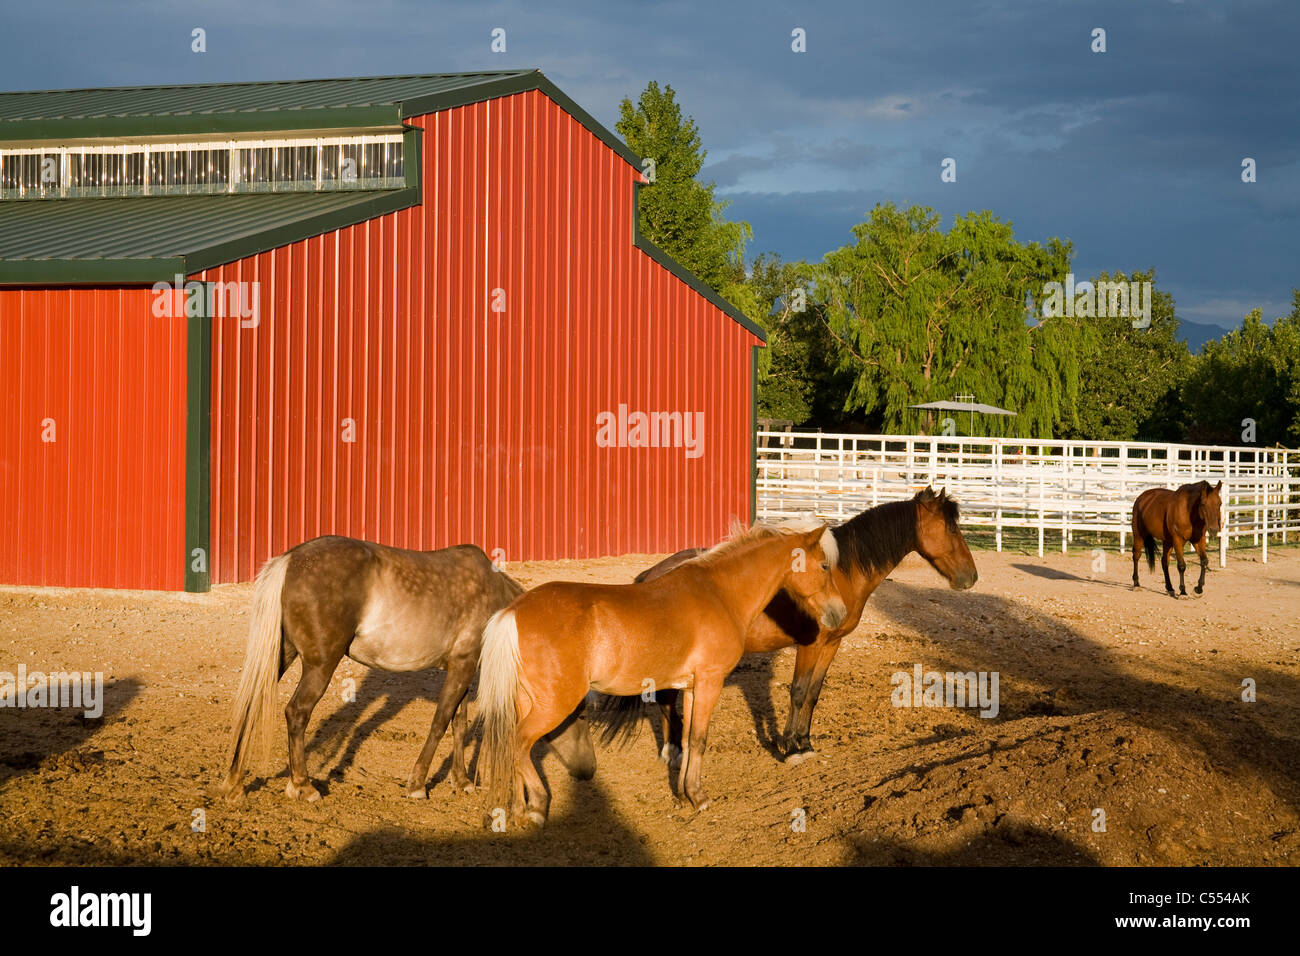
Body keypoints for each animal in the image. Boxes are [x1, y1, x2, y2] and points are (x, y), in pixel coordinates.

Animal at [214, 535, 596, 802]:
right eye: (580, 715)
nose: (589, 771)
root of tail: (290, 560)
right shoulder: (462, 666)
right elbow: (441, 722)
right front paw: (417, 784)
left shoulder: (462, 668)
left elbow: (459, 724)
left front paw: (461, 781)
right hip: (320, 664)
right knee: (296, 713)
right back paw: (303, 786)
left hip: (284, 653)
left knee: (252, 702)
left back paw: (234, 783)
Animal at [478, 522, 846, 827]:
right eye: (824, 566)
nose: (839, 612)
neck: (720, 592)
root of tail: (513, 611)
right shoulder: (710, 682)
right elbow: (698, 740)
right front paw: (698, 797)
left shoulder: (693, 688)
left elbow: (684, 739)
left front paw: (683, 794)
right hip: (553, 704)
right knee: (519, 744)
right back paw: (537, 806)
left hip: (526, 701)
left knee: (512, 747)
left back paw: (519, 808)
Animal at [597, 486, 978, 764]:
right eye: (950, 527)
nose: (971, 577)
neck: (841, 573)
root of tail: (651, 575)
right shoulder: (811, 644)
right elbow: (797, 692)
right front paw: (790, 749)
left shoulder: (832, 644)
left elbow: (813, 694)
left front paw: (805, 743)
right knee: (665, 699)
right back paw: (673, 750)